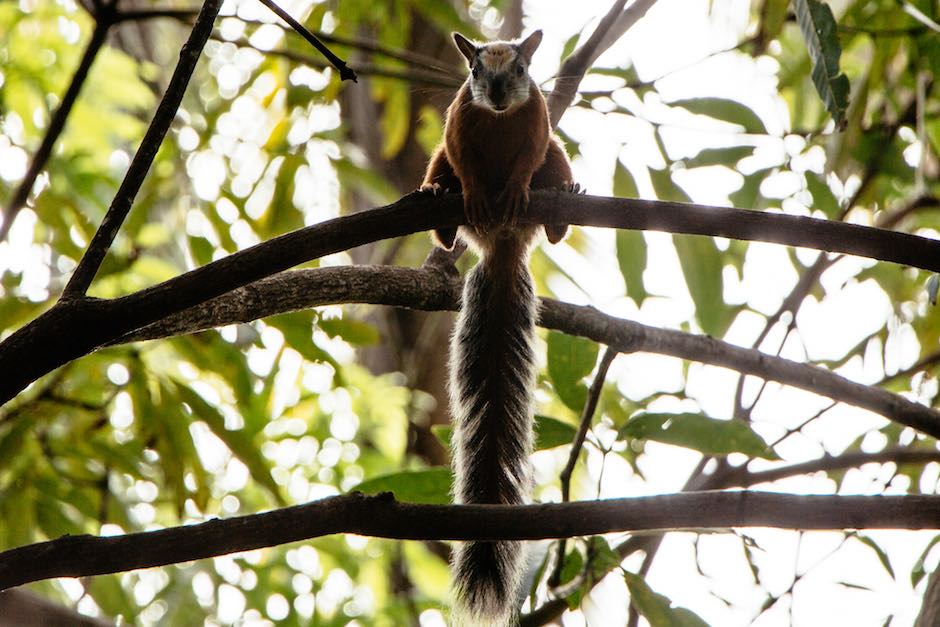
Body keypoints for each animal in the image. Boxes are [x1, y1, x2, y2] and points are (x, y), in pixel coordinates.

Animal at [420, 28, 580, 624]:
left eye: (522, 68)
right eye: (473, 71)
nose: (495, 95)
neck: (498, 120)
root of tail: (503, 245)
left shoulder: (537, 124)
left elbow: (529, 155)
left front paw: (512, 188)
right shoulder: (458, 124)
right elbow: (461, 156)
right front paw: (468, 191)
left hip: (556, 162)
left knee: (554, 169)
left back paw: (560, 211)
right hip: (438, 165)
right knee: (440, 179)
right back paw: (441, 207)